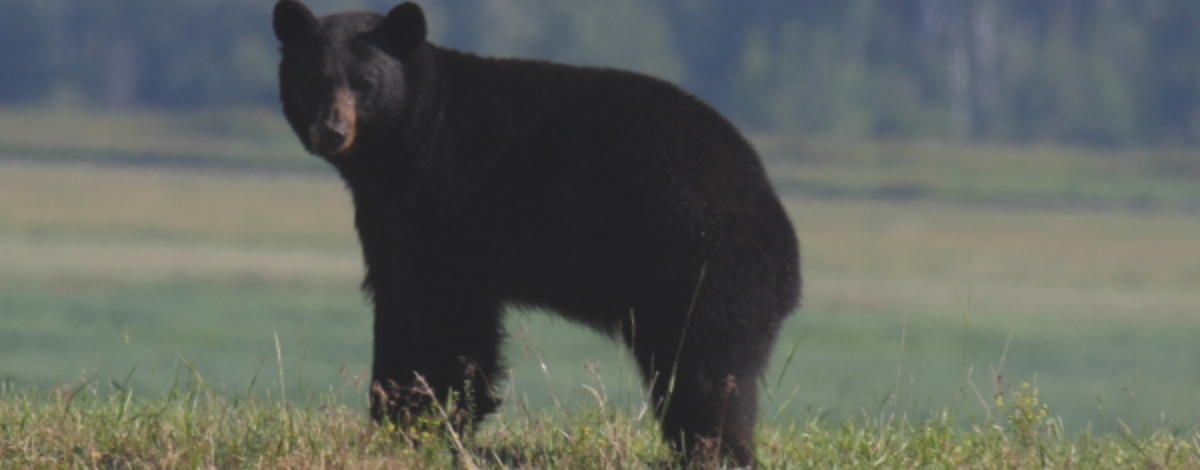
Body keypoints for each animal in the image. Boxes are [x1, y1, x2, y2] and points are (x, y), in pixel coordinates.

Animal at [272, 0, 796, 465]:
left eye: (364, 84)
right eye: (314, 79)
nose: (332, 130)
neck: (410, 144)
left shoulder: (449, 202)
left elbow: (449, 315)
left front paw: (431, 419)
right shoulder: (386, 218)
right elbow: (398, 304)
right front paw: (394, 417)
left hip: (702, 267)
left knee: (706, 373)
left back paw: (716, 452)